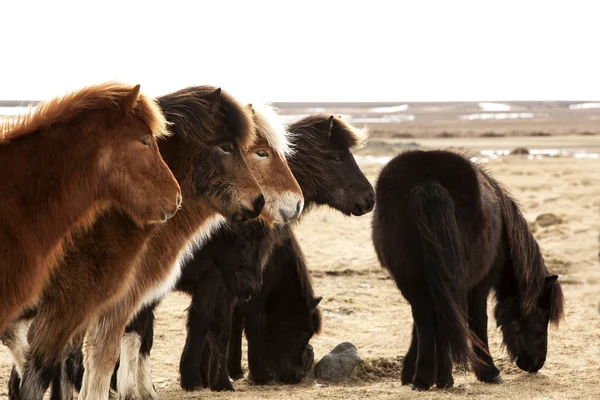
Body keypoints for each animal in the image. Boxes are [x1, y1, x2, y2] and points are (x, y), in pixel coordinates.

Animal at [372, 150, 564, 390]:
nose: (536, 363)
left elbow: (422, 327)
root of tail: (425, 182)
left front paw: (409, 372)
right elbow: (477, 321)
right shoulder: (479, 284)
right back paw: (446, 378)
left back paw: (424, 379)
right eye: (541, 317)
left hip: (412, 278)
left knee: (425, 316)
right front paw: (488, 372)